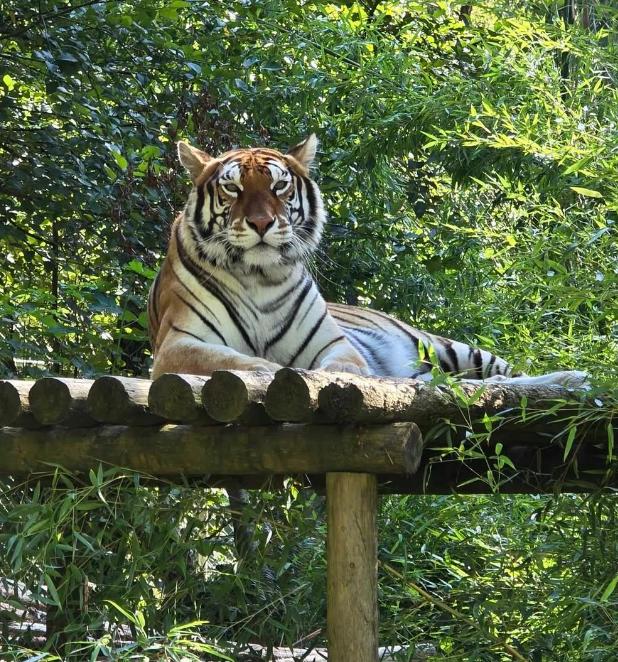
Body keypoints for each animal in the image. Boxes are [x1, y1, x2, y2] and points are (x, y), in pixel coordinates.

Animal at [147, 134, 584, 390]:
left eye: (279, 186)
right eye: (233, 189)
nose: (260, 223)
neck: (259, 275)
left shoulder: (335, 344)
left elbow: (342, 368)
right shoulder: (178, 344)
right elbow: (243, 362)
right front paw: (275, 372)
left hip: (450, 349)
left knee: (513, 378)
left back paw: (573, 376)